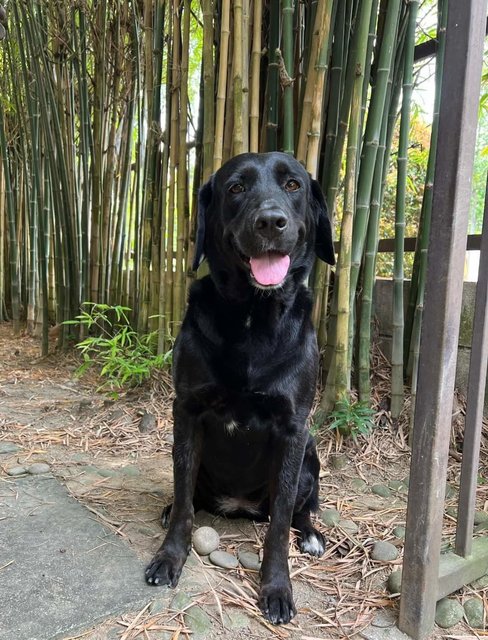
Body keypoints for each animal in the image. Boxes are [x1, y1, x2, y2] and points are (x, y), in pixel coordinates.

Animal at [145, 151, 336, 624]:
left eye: (293, 185)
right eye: (235, 188)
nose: (270, 222)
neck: (253, 317)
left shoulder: (292, 429)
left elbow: (280, 525)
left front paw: (277, 588)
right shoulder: (187, 413)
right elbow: (183, 506)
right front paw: (169, 558)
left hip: (309, 459)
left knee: (299, 510)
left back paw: (311, 535)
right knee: (188, 495)